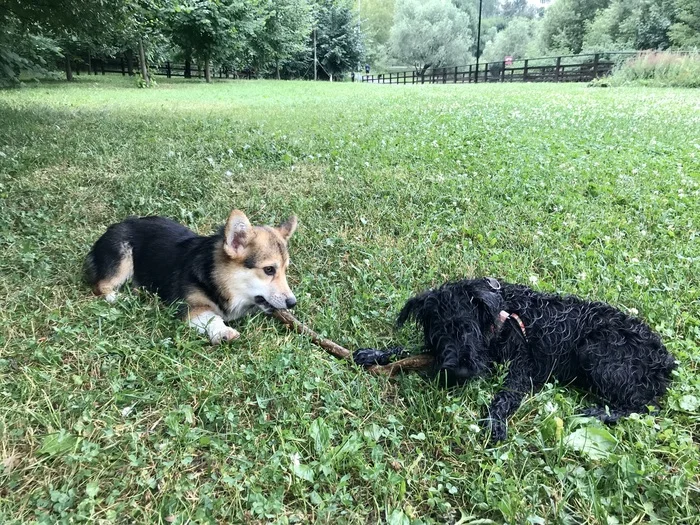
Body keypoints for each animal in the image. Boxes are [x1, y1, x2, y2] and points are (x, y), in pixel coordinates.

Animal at [85, 209, 298, 344]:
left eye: (285, 269)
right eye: (269, 269)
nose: (292, 303)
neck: (218, 280)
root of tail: (114, 226)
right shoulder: (189, 307)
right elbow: (212, 317)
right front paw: (223, 332)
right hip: (122, 260)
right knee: (100, 286)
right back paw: (121, 298)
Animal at [392, 276, 676, 440]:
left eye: (468, 328)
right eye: (439, 332)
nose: (460, 373)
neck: (500, 316)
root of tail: (665, 361)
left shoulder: (521, 369)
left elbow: (504, 396)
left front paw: (494, 422)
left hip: (596, 353)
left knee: (643, 407)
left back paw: (599, 413)